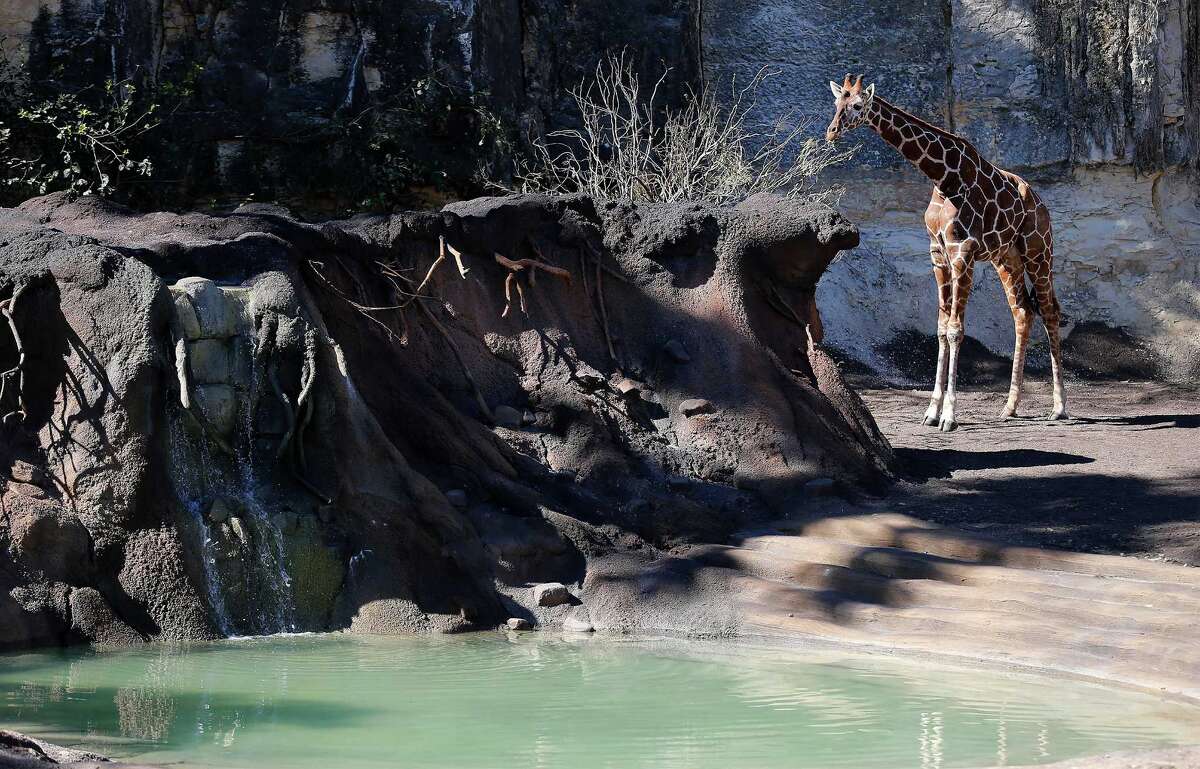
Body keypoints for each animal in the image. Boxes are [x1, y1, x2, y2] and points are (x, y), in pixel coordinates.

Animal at [824, 74, 1068, 431]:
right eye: (836, 103)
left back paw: (1059, 408)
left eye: (857, 105)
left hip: (1038, 251)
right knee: (1023, 312)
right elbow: (940, 329)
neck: (943, 177)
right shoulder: (938, 255)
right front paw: (930, 412)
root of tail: (1040, 202)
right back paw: (1009, 408)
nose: (831, 132)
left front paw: (949, 416)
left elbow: (955, 330)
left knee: (1050, 310)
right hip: (1006, 259)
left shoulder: (962, 252)